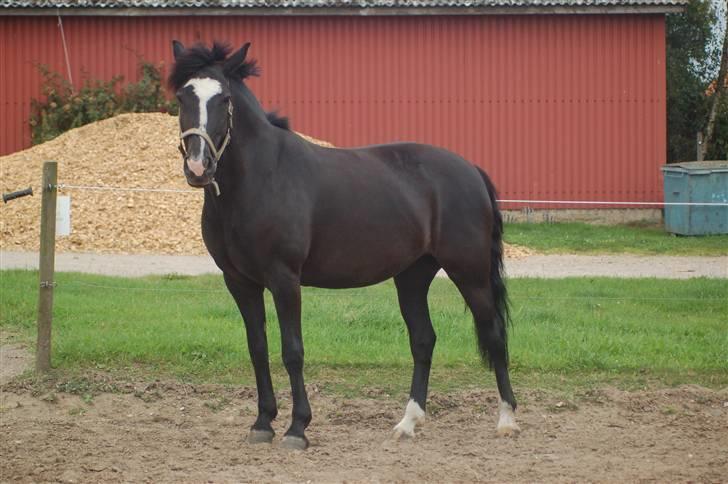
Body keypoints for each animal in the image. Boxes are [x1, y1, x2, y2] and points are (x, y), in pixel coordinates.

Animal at [170, 41, 520, 450]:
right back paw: (408, 423)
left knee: (494, 334)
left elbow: (292, 351)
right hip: (413, 277)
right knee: (423, 340)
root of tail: (471, 171)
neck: (261, 179)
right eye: (182, 97)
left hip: (470, 272)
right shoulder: (240, 282)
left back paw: (506, 419)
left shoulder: (284, 279)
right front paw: (262, 423)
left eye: (223, 98)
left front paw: (297, 428)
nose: (198, 167)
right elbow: (258, 349)